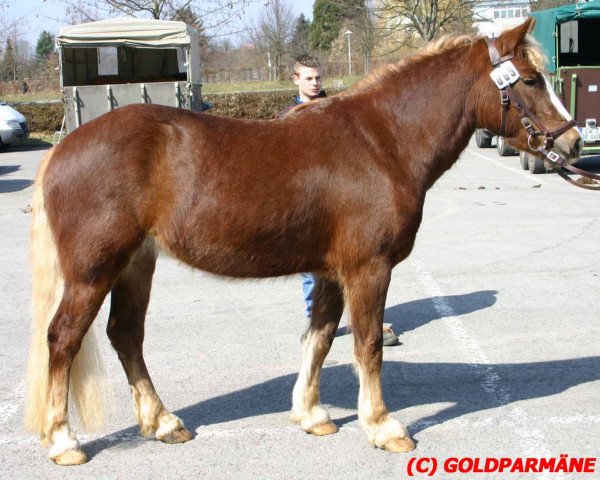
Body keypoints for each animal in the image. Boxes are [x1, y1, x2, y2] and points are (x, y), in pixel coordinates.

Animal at [24, 19, 580, 464]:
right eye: (531, 79)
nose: (573, 142)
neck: (382, 142)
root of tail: (62, 150)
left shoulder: (331, 271)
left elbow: (319, 336)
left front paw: (312, 416)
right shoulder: (368, 268)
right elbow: (367, 345)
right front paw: (383, 427)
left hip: (137, 262)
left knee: (126, 335)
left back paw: (162, 423)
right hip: (94, 270)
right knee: (64, 339)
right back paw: (64, 442)